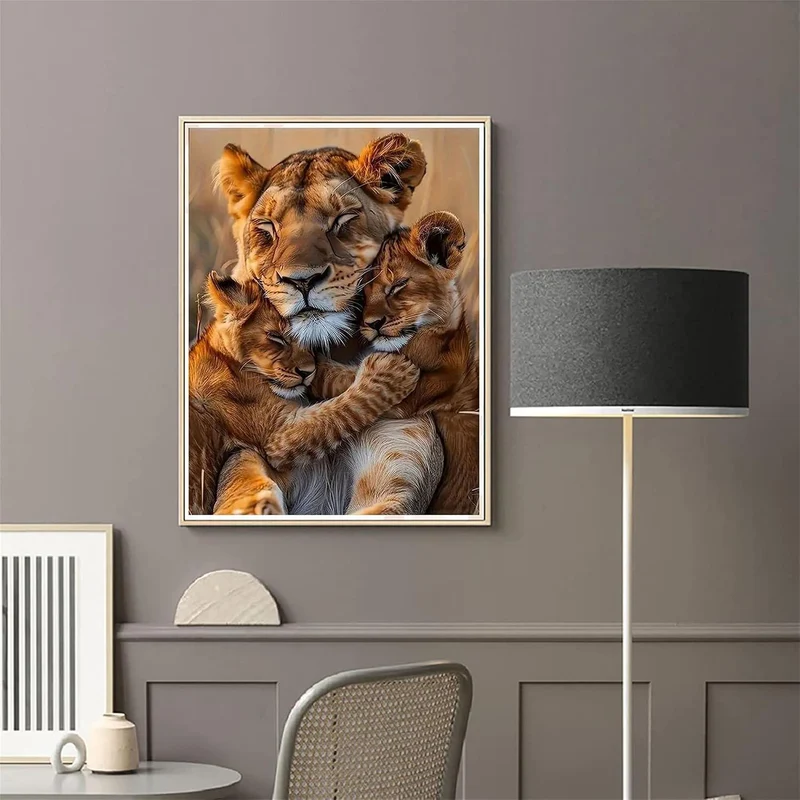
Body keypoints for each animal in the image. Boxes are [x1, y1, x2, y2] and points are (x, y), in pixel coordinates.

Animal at [189, 272, 420, 516]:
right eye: (276, 337)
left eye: (309, 341)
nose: (306, 372)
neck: (226, 359)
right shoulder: (280, 434)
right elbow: (340, 411)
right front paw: (394, 371)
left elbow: (336, 382)